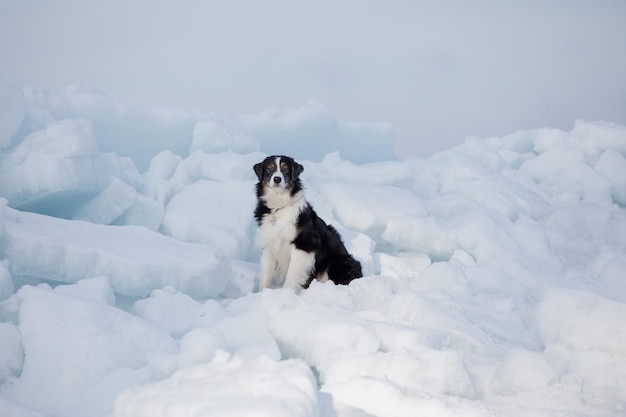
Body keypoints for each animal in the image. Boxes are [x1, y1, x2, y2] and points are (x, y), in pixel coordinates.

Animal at [252, 155, 360, 290]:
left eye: (285, 169)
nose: (277, 179)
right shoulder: (269, 247)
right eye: (269, 168)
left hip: (338, 263)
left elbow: (292, 275)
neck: (279, 207)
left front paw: (286, 292)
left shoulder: (304, 245)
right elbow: (265, 277)